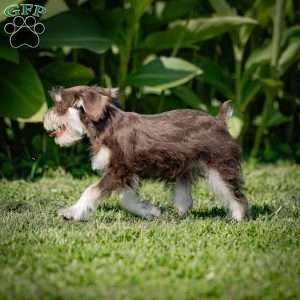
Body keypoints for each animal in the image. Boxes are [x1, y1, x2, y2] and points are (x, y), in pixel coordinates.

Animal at [42, 85, 248, 221]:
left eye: (59, 105)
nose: (44, 118)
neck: (104, 126)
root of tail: (220, 121)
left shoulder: (118, 170)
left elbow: (91, 190)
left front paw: (71, 212)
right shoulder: (127, 173)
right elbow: (126, 200)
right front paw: (150, 211)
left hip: (220, 167)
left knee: (236, 194)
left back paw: (239, 218)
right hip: (184, 168)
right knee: (185, 198)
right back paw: (179, 214)